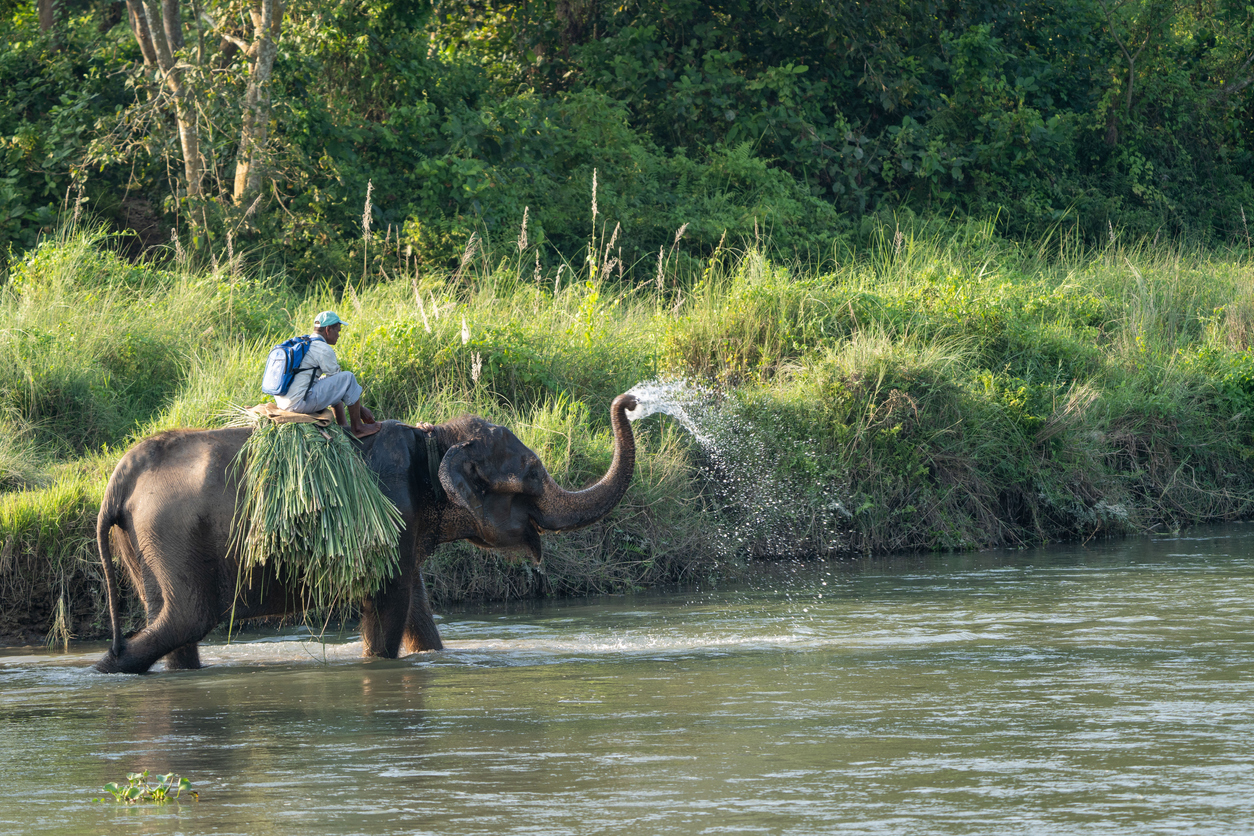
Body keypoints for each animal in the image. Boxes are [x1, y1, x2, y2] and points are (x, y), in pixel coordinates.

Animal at [92, 393, 637, 671]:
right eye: (532, 473)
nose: (631, 400)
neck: (432, 437)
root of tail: (121, 479)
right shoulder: (394, 513)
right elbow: (387, 605)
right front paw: (378, 664)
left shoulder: (406, 527)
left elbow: (416, 607)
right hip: (173, 535)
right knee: (187, 619)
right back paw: (104, 669)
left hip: (144, 544)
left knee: (170, 623)